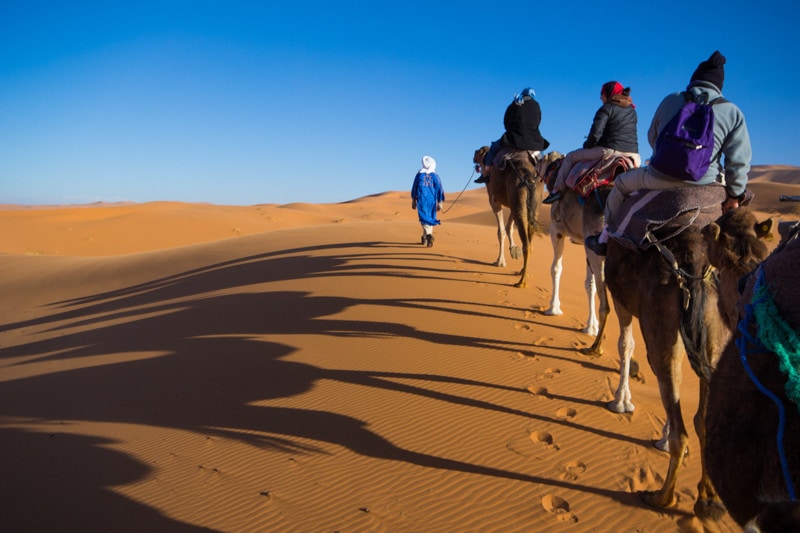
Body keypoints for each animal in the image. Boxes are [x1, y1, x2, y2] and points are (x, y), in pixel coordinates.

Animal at [472, 147, 560, 286]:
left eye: (479, 151)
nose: (474, 155)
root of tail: (529, 176)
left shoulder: (494, 200)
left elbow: (501, 231)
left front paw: (500, 261)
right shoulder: (512, 203)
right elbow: (509, 227)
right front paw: (513, 250)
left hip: (517, 195)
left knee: (526, 243)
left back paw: (521, 282)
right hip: (532, 204)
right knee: (529, 239)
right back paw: (522, 271)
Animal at [604, 198, 772, 516]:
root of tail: (696, 267)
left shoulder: (622, 303)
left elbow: (625, 345)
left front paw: (620, 402)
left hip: (660, 326)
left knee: (679, 421)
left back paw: (661, 497)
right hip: (714, 334)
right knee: (702, 419)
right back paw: (708, 498)